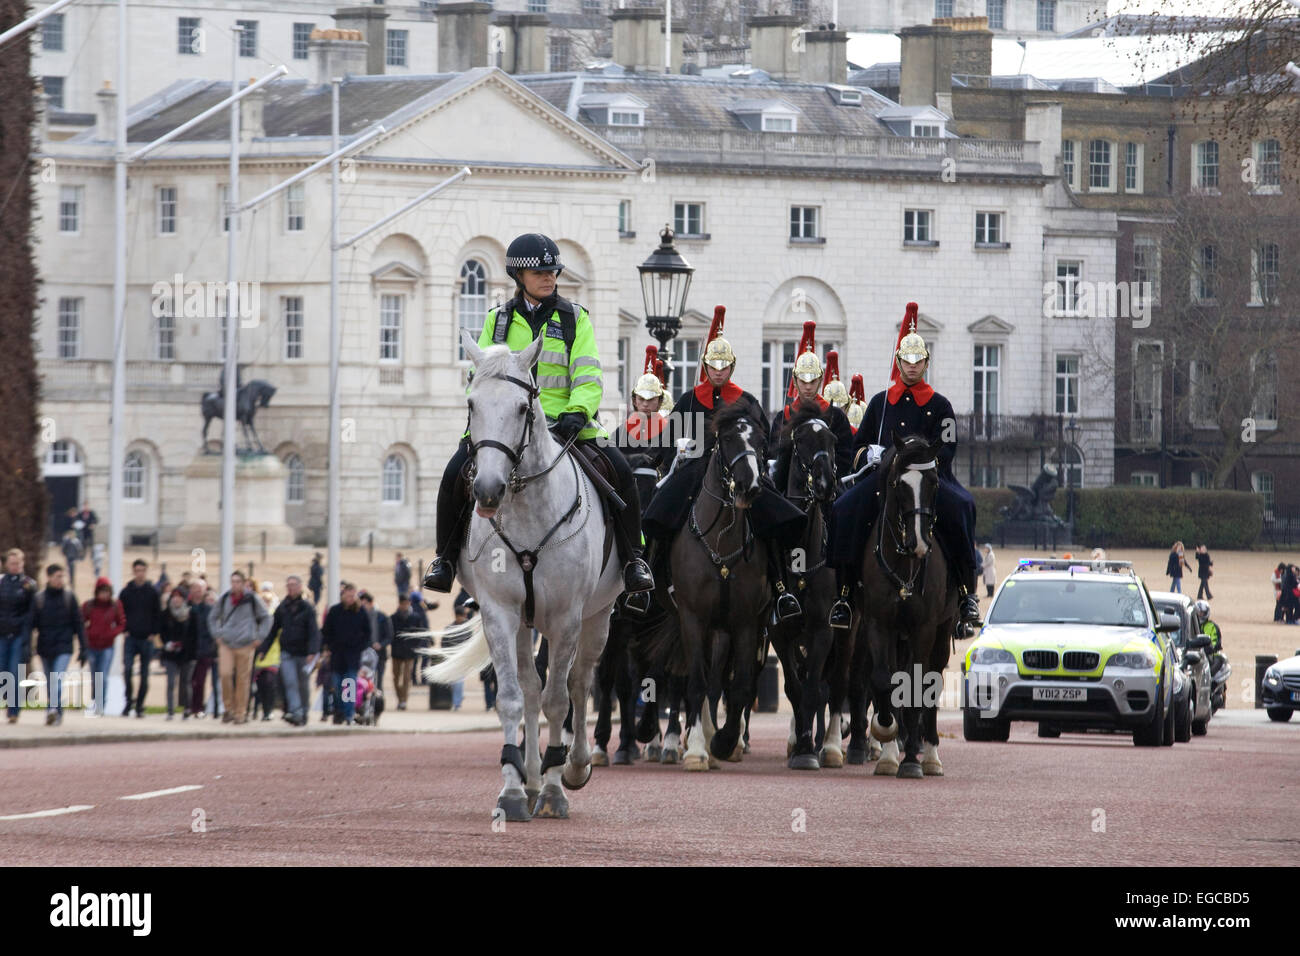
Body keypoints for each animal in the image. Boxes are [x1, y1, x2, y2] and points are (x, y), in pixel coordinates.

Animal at [426, 330, 624, 822]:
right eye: (472, 403)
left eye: (521, 407)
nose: (486, 490)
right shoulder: (501, 613)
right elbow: (514, 698)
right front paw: (514, 790)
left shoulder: (567, 618)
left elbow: (559, 699)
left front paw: (555, 788)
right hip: (523, 625)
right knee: (533, 690)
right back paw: (532, 779)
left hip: (598, 618)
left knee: (579, 684)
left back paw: (572, 767)